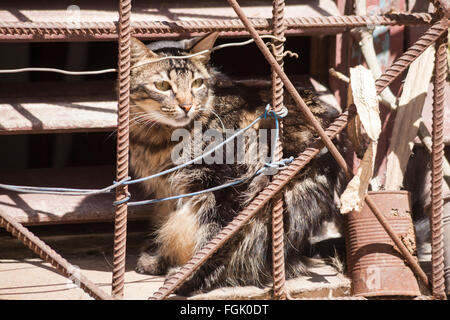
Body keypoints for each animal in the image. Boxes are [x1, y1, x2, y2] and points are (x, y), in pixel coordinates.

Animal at [128, 33, 342, 296]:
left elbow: (213, 238)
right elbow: (169, 221)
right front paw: (159, 259)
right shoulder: (169, 191)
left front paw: (189, 279)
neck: (157, 139)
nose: (187, 105)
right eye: (162, 86)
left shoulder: (225, 185)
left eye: (197, 83)